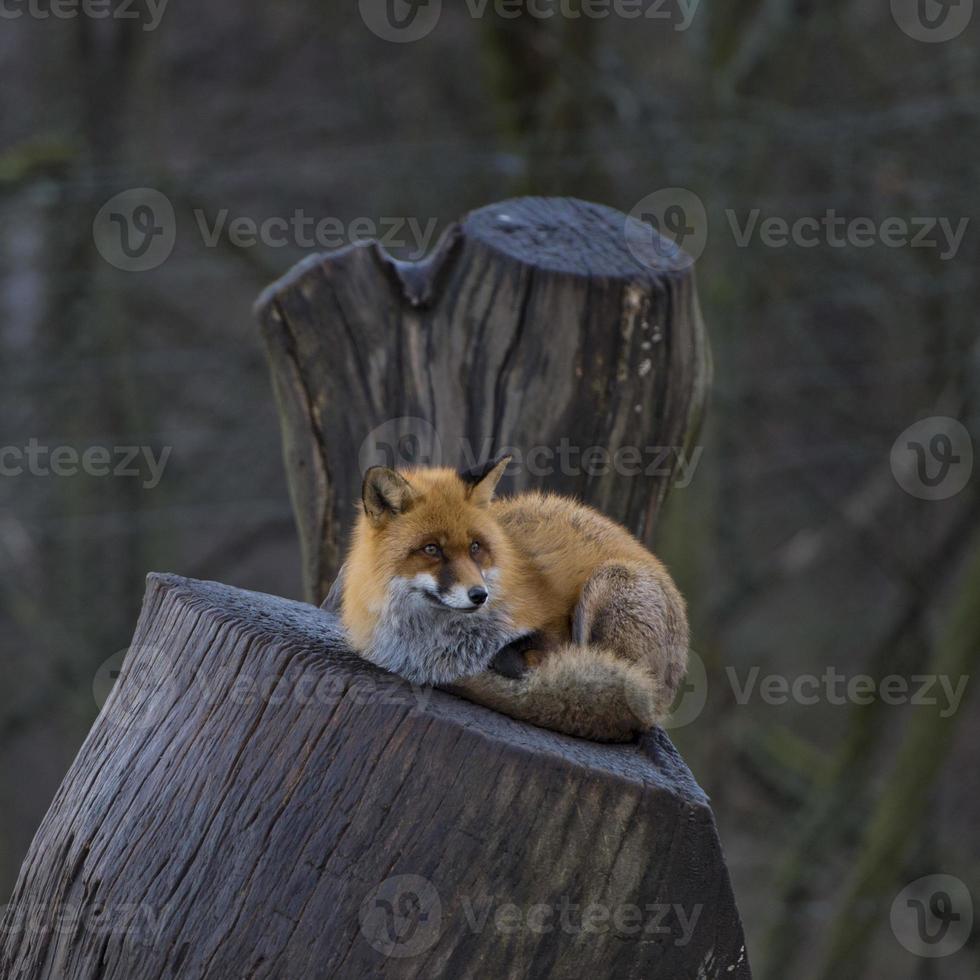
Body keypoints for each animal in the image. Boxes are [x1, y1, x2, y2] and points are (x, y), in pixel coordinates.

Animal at [334, 456, 688, 740]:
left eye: (475, 547)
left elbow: (533, 662)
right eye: (431, 549)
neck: (434, 640)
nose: (479, 595)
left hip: (605, 585)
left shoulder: (551, 625)